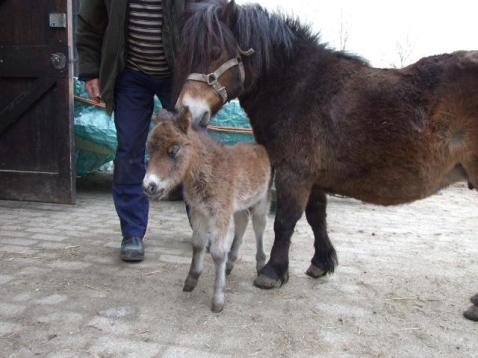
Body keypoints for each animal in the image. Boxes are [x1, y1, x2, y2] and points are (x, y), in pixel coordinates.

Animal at [172, 0, 478, 320]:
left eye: (216, 52)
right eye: (185, 54)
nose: (186, 111)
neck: (299, 87)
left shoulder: (294, 172)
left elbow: (285, 221)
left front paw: (272, 272)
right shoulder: (314, 176)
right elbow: (316, 216)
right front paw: (321, 262)